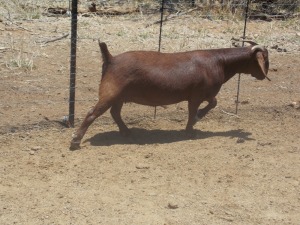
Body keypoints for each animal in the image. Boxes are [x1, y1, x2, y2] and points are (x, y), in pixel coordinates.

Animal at [70, 40, 270, 149]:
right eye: (265, 59)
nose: (263, 75)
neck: (219, 62)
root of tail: (111, 58)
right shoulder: (198, 94)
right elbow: (201, 107)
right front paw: (192, 126)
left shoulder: (201, 94)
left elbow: (213, 103)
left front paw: (194, 122)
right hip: (110, 92)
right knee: (92, 113)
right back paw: (75, 141)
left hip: (119, 96)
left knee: (115, 113)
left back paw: (126, 132)